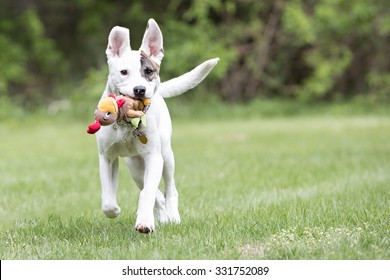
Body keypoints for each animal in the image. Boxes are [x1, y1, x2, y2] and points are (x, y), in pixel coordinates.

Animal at [93, 18, 218, 233]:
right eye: (124, 72)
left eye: (149, 71)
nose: (140, 90)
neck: (127, 123)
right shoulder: (107, 157)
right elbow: (109, 199)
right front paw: (115, 210)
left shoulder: (154, 157)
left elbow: (149, 192)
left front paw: (144, 222)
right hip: (134, 167)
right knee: (154, 192)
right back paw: (164, 216)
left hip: (166, 156)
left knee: (169, 189)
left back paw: (173, 217)